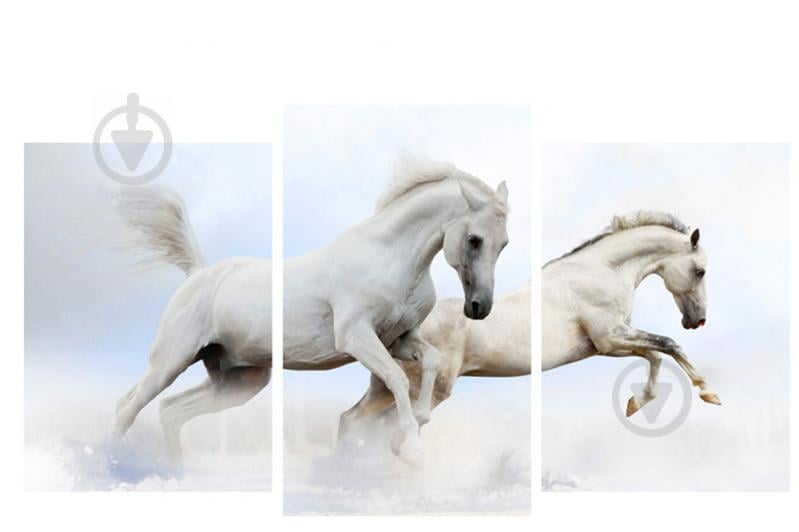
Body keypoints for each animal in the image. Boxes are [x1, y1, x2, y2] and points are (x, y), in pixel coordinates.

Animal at [111, 156, 509, 467]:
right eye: (474, 240)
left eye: (504, 243)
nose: (479, 307)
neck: (390, 258)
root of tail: (197, 274)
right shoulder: (356, 337)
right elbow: (397, 379)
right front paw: (411, 449)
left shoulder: (398, 339)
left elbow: (431, 361)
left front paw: (413, 430)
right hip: (170, 361)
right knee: (127, 409)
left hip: (239, 380)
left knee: (169, 411)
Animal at [543, 210, 720, 415]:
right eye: (700, 272)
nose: (700, 320)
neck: (601, 272)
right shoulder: (610, 336)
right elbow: (669, 344)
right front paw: (708, 392)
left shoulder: (605, 345)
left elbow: (655, 355)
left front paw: (636, 403)